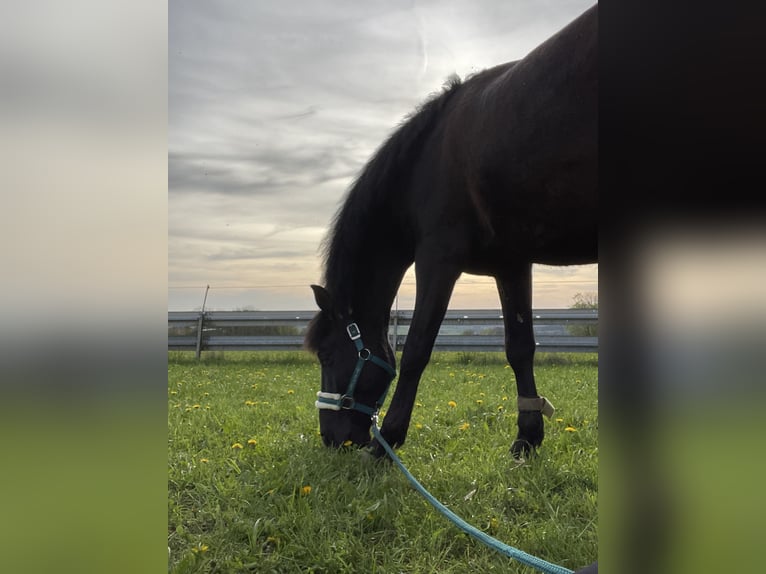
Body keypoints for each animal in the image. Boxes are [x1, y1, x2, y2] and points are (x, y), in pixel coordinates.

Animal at [306, 4, 600, 460]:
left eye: (324, 353)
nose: (331, 438)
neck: (423, 162)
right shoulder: (511, 265)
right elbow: (520, 348)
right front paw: (527, 437)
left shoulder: (437, 259)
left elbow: (416, 349)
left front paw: (388, 440)